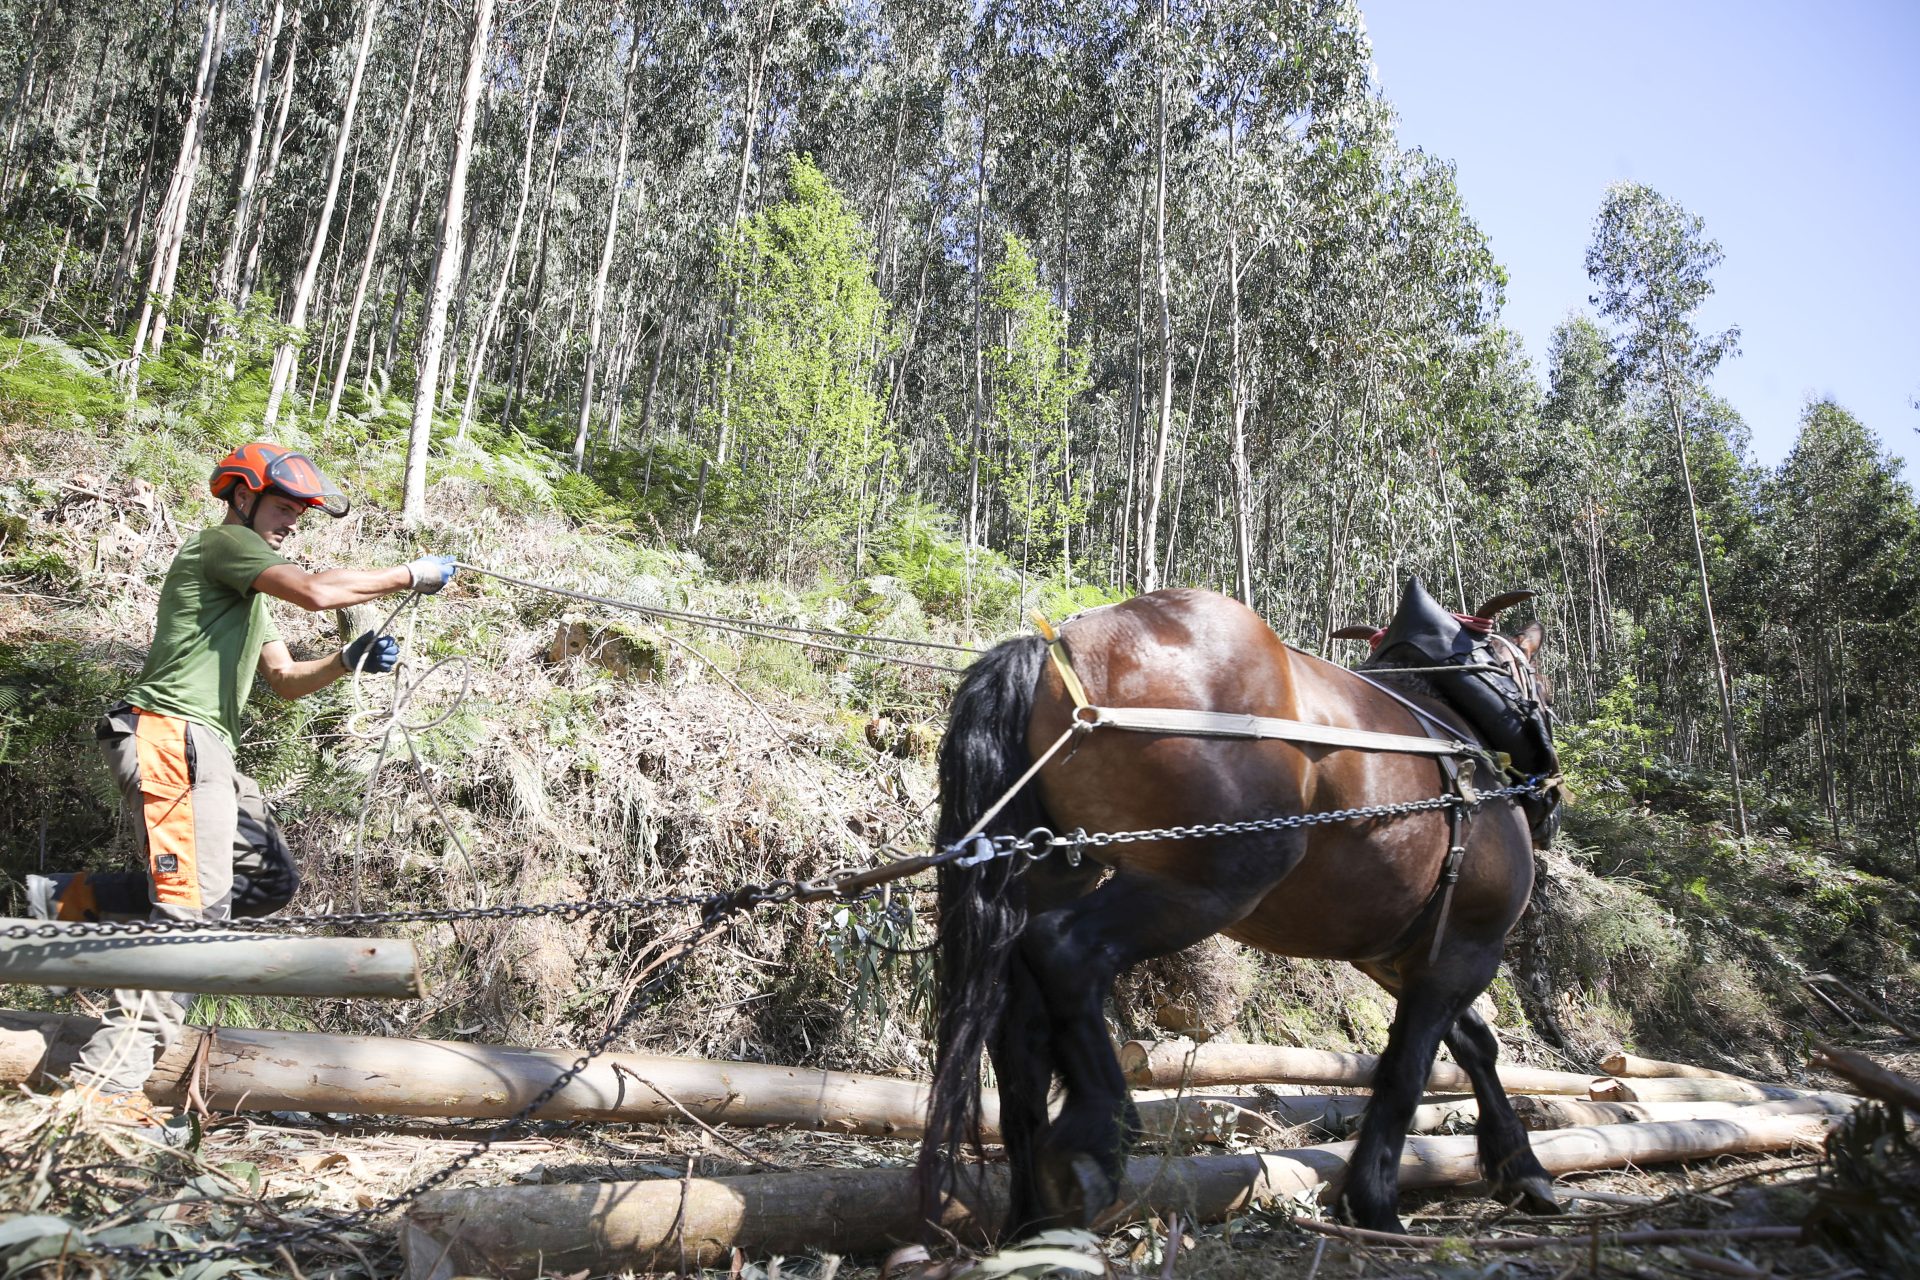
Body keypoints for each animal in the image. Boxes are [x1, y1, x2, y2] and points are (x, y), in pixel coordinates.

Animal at [915, 585, 1560, 1239]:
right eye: (1533, 677)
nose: (1551, 796)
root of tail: (1056, 652)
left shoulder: (1402, 956)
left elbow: (1472, 1044)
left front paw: (1521, 1168)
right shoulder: (1467, 946)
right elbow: (1410, 1068)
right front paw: (1375, 1201)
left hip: (1058, 873)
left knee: (1019, 1025)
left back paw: (1031, 1217)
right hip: (1212, 881)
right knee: (1065, 950)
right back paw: (1098, 1134)